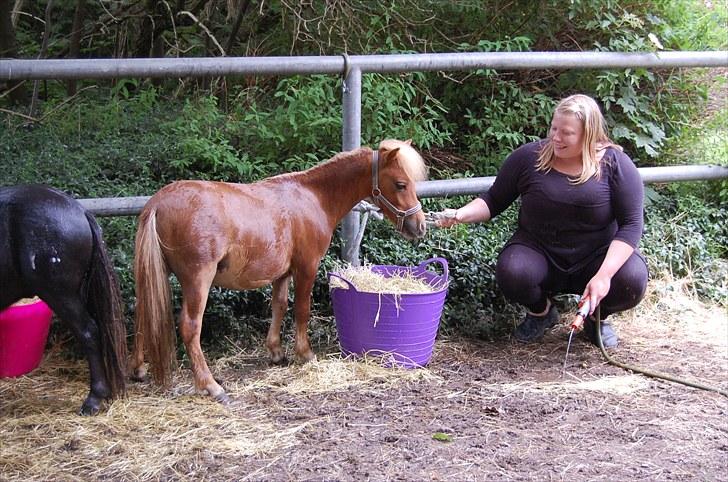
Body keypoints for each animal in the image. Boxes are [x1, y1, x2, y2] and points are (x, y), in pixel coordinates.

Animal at [131, 140, 426, 402]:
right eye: (400, 184)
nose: (420, 225)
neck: (314, 197)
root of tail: (157, 204)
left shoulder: (282, 272)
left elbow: (279, 306)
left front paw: (276, 351)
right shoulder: (306, 267)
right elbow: (302, 310)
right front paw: (305, 353)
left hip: (152, 276)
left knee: (143, 315)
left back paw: (139, 369)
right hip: (197, 279)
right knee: (190, 326)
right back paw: (210, 384)